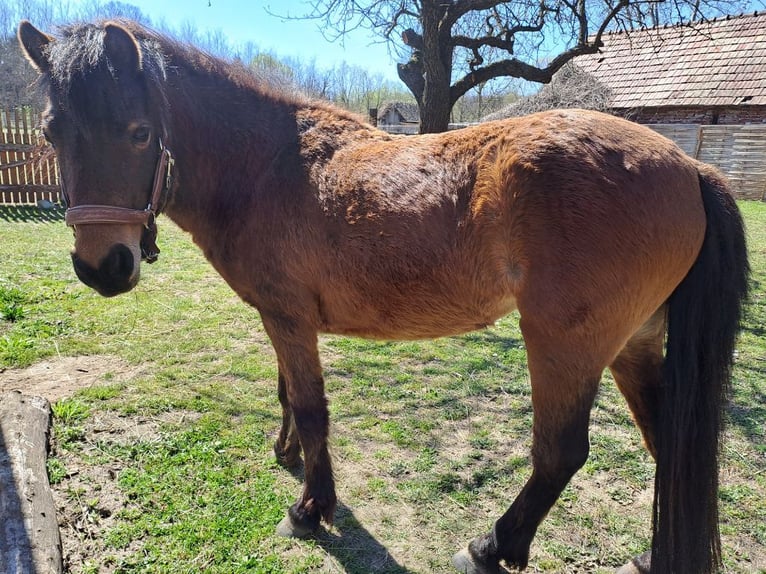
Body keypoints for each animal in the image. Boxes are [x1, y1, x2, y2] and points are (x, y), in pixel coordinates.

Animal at [18, 19, 749, 574]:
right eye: (52, 131)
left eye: (140, 131)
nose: (103, 267)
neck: (270, 167)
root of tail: (691, 167)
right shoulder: (281, 318)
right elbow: (287, 394)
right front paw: (289, 457)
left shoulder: (288, 319)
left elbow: (311, 408)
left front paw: (311, 508)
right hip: (634, 345)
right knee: (668, 446)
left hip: (565, 346)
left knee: (560, 454)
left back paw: (491, 547)